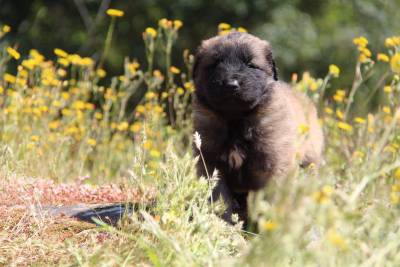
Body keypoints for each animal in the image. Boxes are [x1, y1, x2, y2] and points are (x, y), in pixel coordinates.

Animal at [192, 30, 324, 224]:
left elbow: (269, 201)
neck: (235, 118)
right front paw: (222, 223)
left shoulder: (272, 166)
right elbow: (219, 198)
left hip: (308, 164)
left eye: (250, 65)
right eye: (215, 64)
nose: (231, 85)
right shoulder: (210, 163)